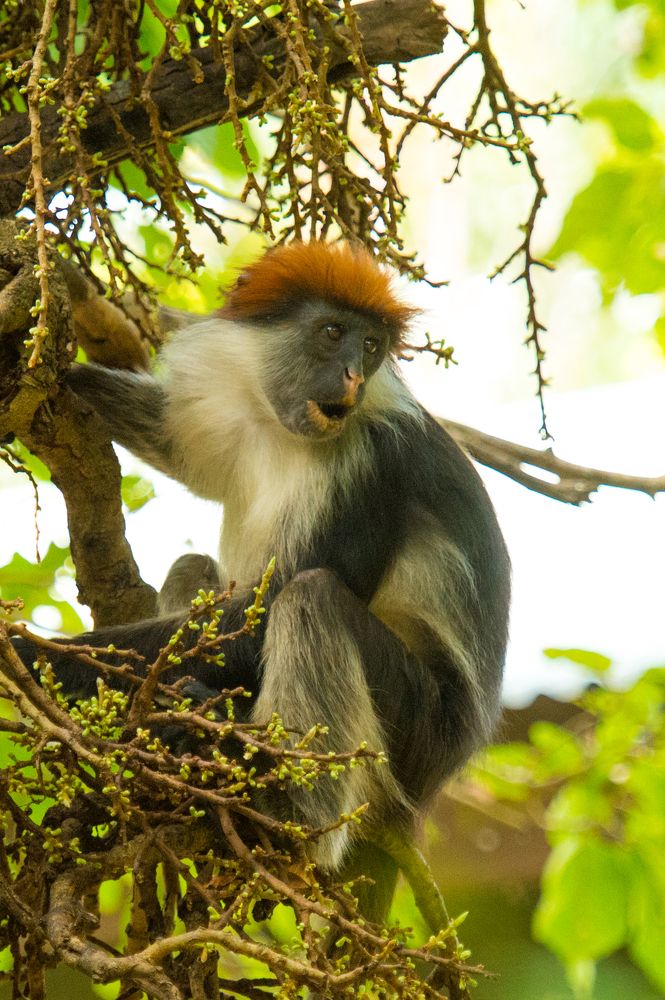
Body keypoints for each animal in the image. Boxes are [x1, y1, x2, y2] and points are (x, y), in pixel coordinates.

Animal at [13, 241, 510, 907]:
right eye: (333, 334)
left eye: (371, 347)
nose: (354, 376)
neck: (284, 432)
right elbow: (175, 444)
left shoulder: (372, 461)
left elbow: (270, 609)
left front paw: (28, 654)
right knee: (198, 568)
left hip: (420, 727)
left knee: (310, 597)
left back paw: (282, 804)